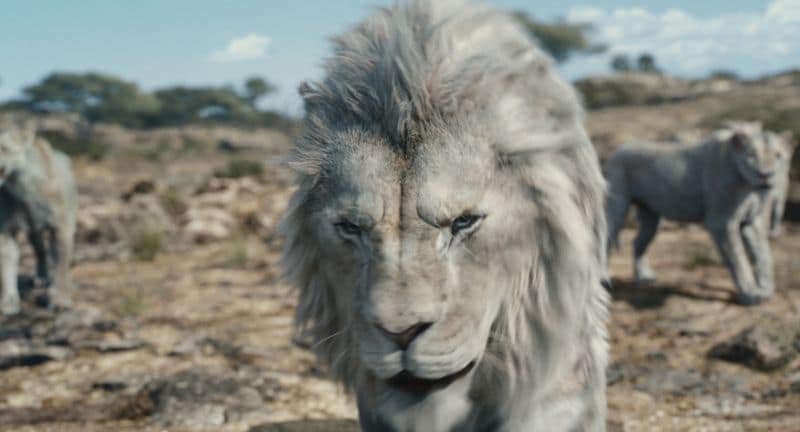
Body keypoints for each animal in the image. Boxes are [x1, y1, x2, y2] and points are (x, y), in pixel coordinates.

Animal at [0, 119, 77, 315]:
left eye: (4, 148)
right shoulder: (7, 230)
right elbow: (7, 263)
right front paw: (8, 302)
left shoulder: (61, 227)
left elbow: (61, 263)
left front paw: (60, 299)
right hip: (33, 231)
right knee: (40, 251)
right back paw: (41, 277)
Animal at [605, 121, 786, 305]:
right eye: (751, 155)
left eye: (778, 155)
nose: (766, 175)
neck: (748, 185)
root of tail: (618, 150)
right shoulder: (721, 222)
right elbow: (738, 259)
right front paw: (750, 294)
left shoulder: (751, 221)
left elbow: (763, 255)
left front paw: (766, 290)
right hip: (617, 208)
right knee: (605, 240)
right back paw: (603, 280)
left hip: (650, 218)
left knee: (637, 242)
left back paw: (643, 277)